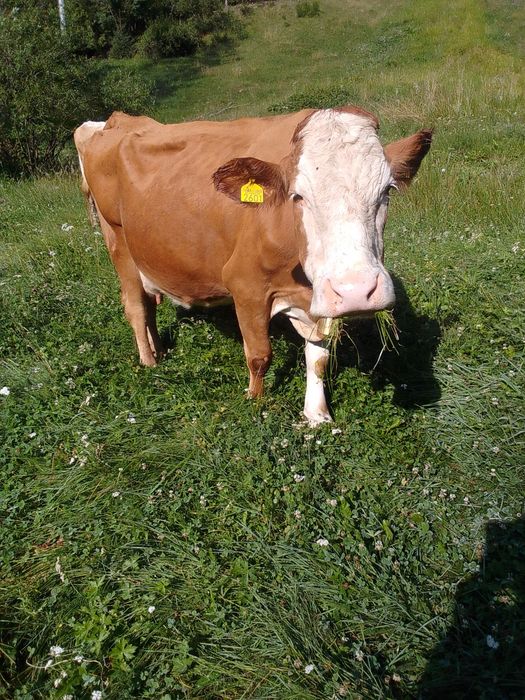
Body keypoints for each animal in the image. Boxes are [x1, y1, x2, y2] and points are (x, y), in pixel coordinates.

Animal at [75, 108, 431, 425]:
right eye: (297, 196)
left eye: (387, 191)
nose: (357, 291)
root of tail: (116, 120)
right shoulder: (245, 286)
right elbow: (260, 356)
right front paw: (254, 403)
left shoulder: (319, 298)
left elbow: (318, 358)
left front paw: (316, 416)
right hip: (118, 241)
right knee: (136, 307)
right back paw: (150, 363)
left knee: (149, 304)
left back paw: (159, 350)